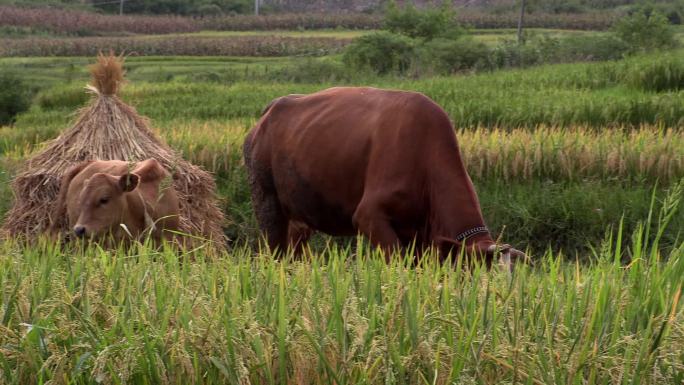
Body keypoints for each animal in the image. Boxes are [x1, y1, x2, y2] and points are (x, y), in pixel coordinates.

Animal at [243, 87, 528, 268]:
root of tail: (270, 111)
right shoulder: (369, 216)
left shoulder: (420, 236)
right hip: (266, 202)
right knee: (274, 252)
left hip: (299, 217)